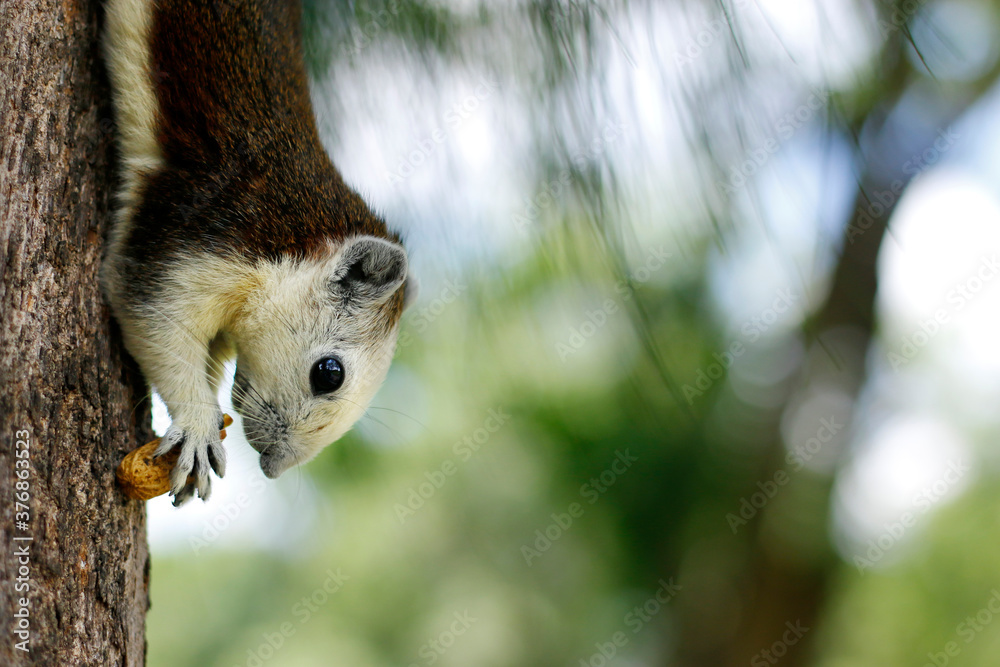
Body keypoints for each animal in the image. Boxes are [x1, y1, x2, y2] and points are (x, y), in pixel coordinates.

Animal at [100, 0, 410, 504]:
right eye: (329, 373)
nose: (273, 467)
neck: (292, 244)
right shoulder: (199, 244)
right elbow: (156, 326)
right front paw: (198, 429)